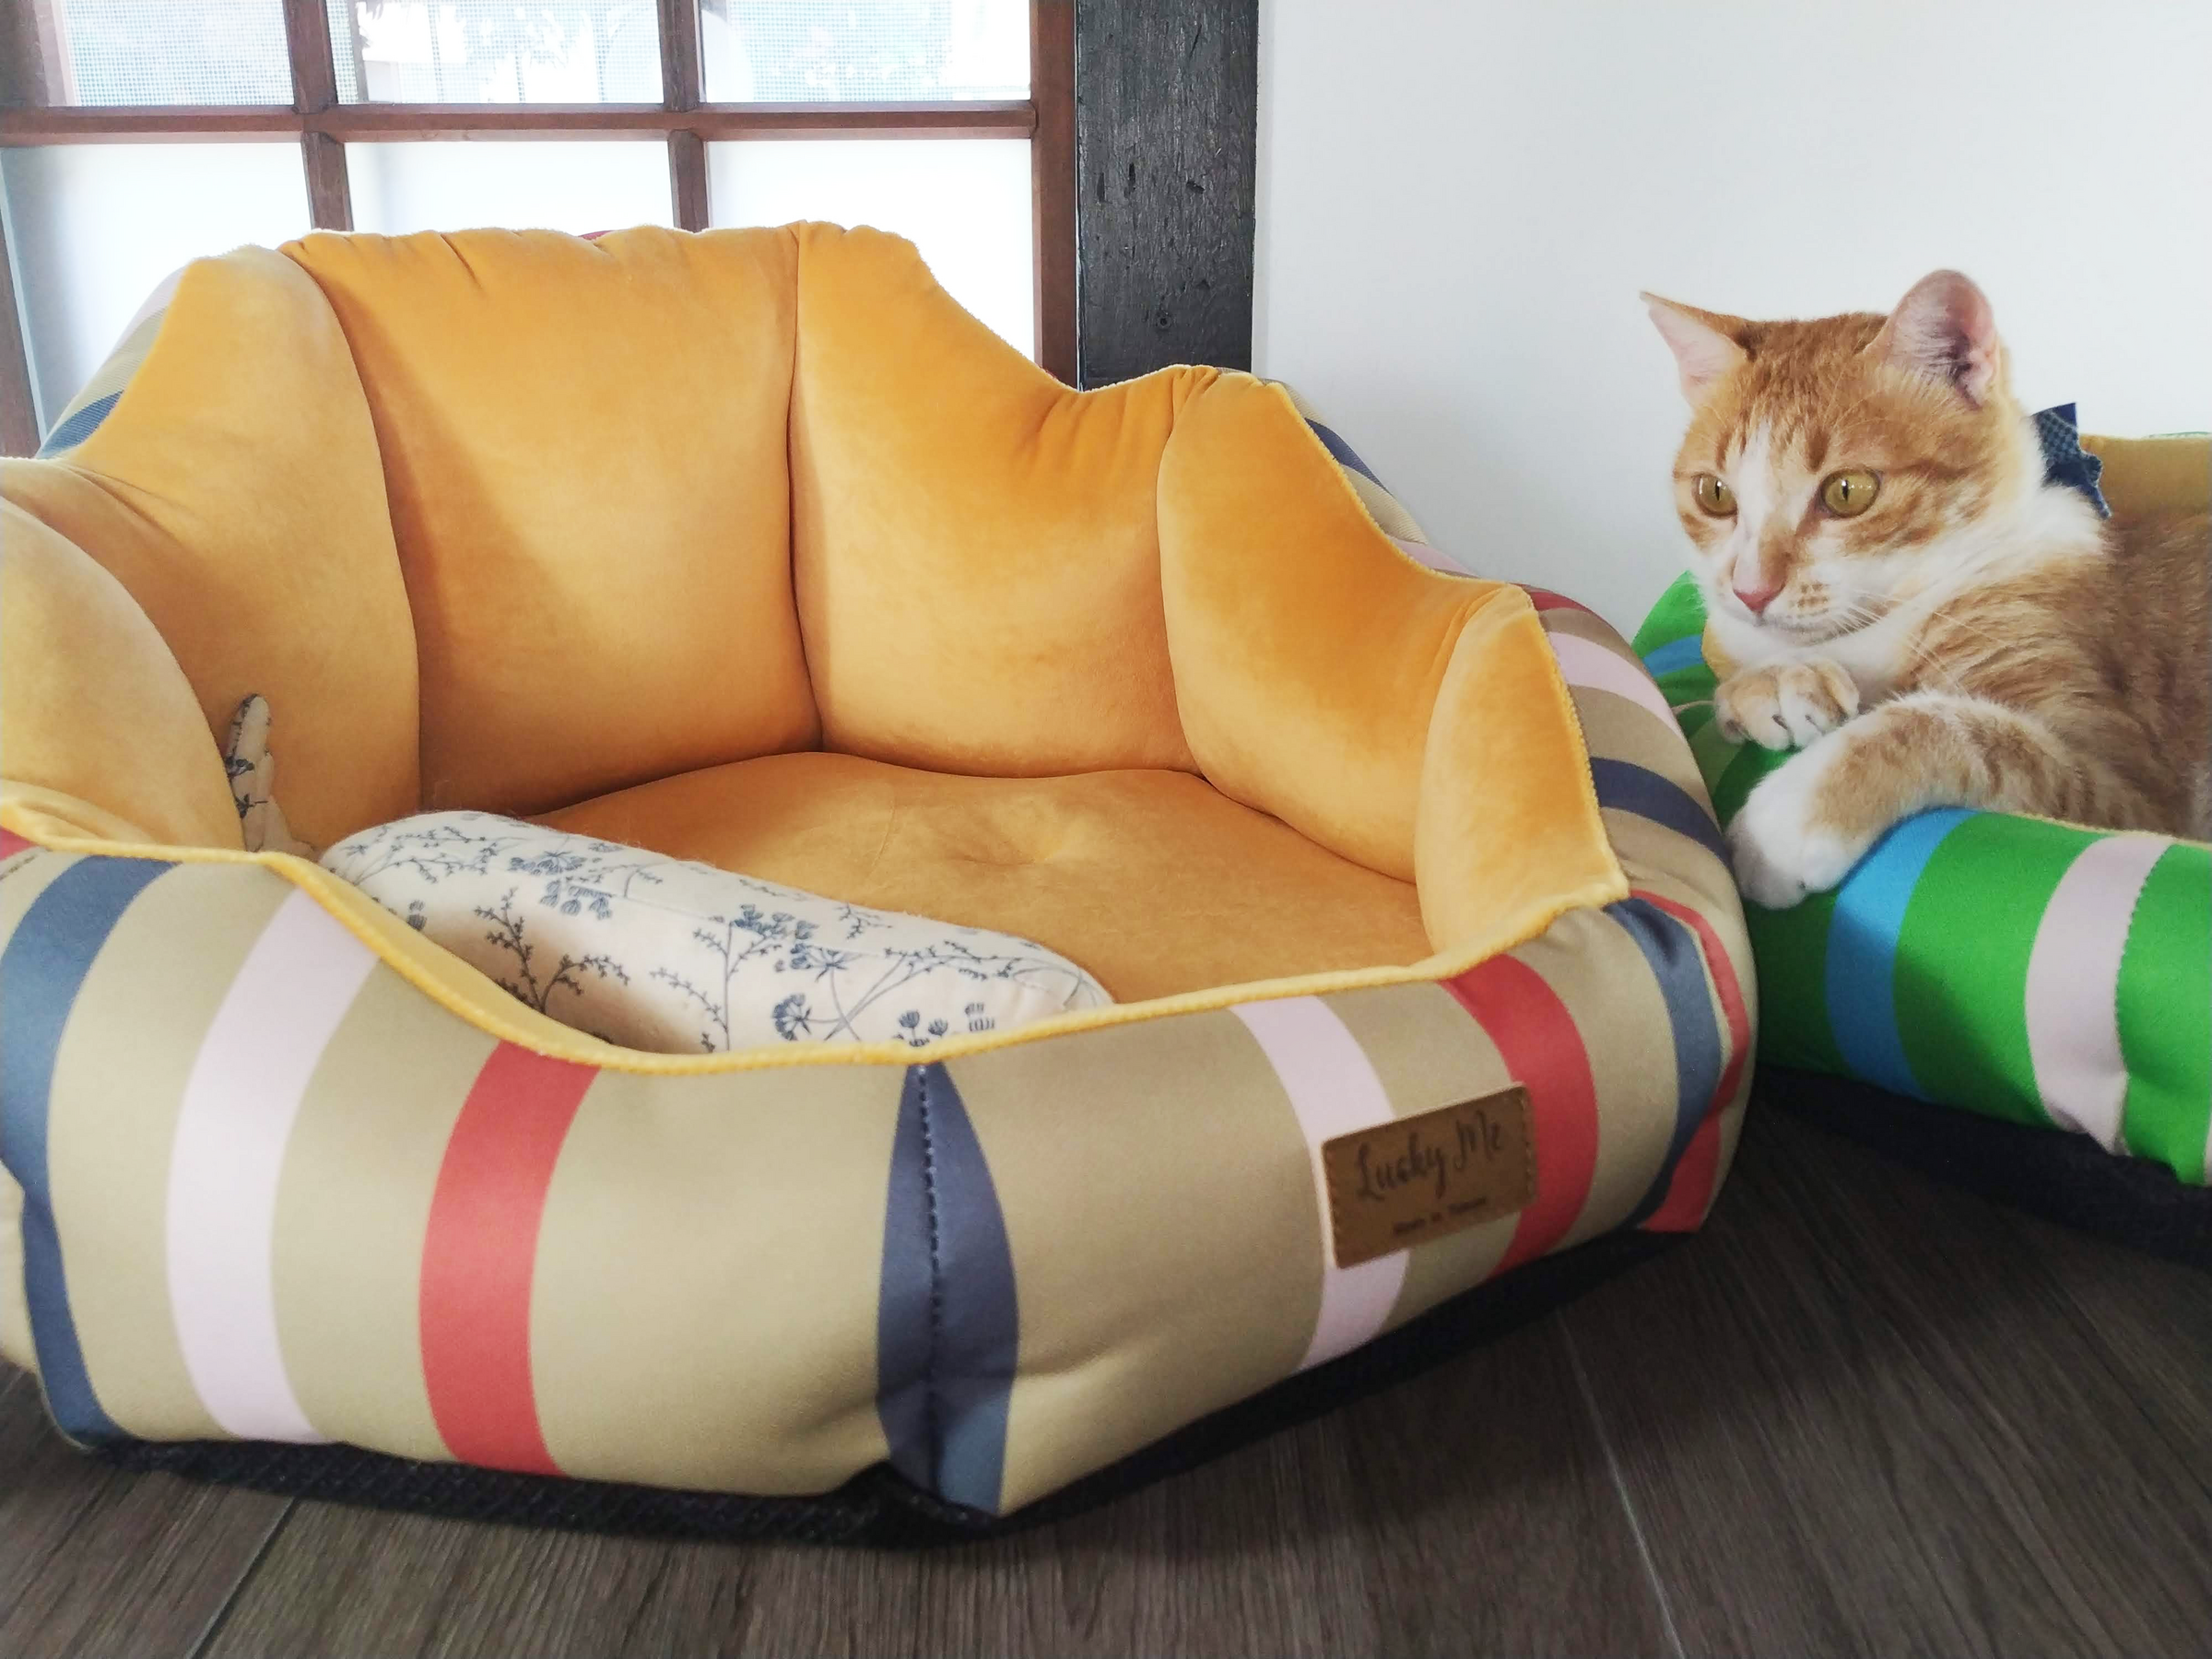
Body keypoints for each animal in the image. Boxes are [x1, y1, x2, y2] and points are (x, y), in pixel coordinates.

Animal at [1643, 269, 2209, 908]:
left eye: (1847, 491)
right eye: (1714, 494)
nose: (1751, 590)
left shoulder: (2133, 788)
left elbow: (1954, 725)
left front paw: (1787, 821)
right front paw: (1777, 682)